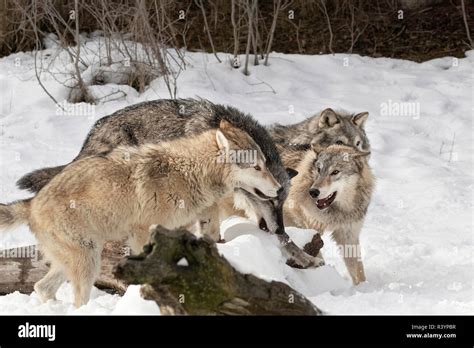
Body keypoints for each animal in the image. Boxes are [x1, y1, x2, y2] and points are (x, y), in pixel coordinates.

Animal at [0, 120, 282, 308]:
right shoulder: (141, 233)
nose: (280, 188)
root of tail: (32, 203)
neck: (190, 172)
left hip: (81, 257)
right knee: (77, 301)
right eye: (257, 167)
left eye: (264, 165)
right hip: (89, 261)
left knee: (41, 287)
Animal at [282, 144, 374, 286]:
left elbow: (358, 271)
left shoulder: (348, 236)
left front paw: (363, 288)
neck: (336, 213)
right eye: (319, 170)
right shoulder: (309, 230)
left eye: (335, 172)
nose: (313, 192)